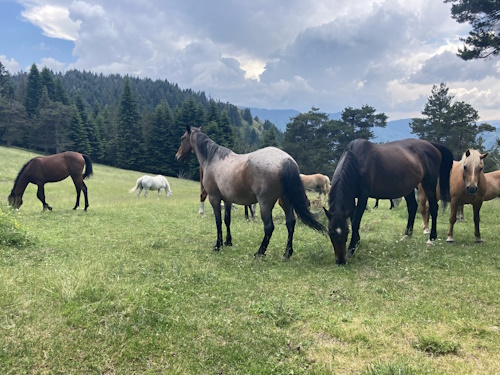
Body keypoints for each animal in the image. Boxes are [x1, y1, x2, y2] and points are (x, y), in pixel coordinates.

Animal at [175, 126, 324, 258]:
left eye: (182, 138)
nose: (178, 156)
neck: (213, 159)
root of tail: (285, 159)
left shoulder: (214, 198)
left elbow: (218, 222)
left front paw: (218, 245)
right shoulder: (227, 200)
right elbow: (227, 220)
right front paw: (228, 242)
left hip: (265, 204)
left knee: (269, 227)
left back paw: (260, 252)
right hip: (286, 201)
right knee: (290, 222)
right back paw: (287, 253)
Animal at [324, 138, 454, 264]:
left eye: (346, 232)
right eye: (330, 232)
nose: (340, 260)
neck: (356, 162)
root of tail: (431, 145)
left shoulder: (363, 196)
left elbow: (356, 221)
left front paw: (351, 249)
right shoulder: (351, 196)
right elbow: (352, 219)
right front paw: (357, 240)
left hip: (429, 183)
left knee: (433, 208)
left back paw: (432, 238)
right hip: (408, 188)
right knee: (412, 207)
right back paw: (407, 236)